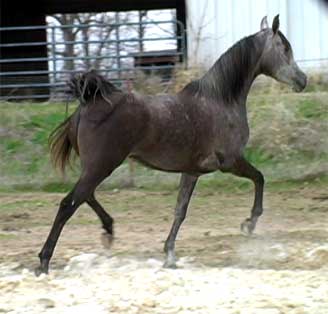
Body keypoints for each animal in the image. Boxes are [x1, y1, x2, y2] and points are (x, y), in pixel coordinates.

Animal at [36, 15, 308, 274]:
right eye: (285, 48)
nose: (302, 80)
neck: (220, 100)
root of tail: (87, 104)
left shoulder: (192, 171)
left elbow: (180, 210)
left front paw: (169, 256)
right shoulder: (230, 161)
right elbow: (259, 178)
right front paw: (249, 224)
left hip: (95, 167)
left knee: (86, 196)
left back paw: (109, 230)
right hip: (101, 166)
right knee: (69, 204)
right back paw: (44, 261)